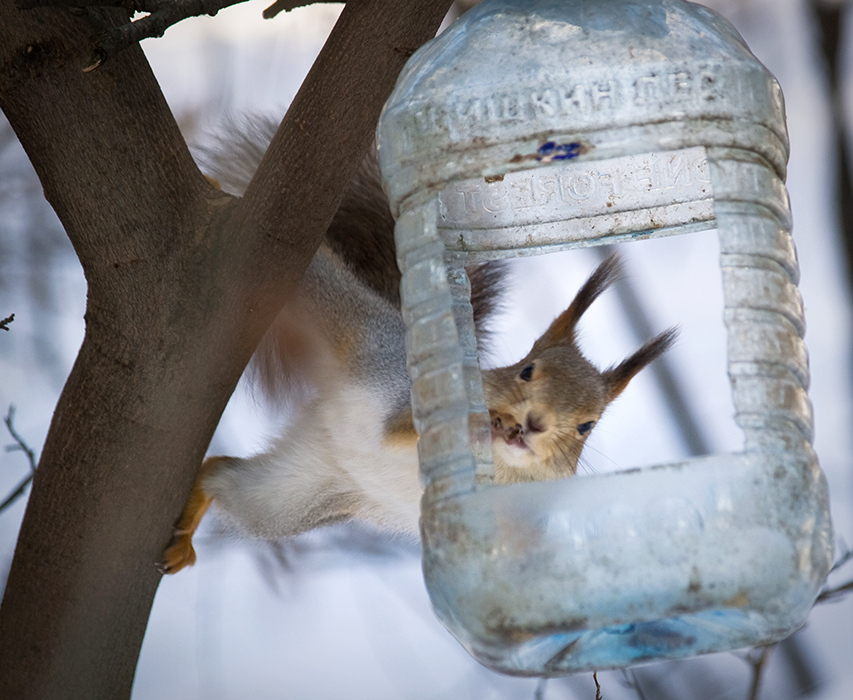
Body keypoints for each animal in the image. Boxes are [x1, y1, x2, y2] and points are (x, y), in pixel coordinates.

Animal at [163, 116, 676, 576]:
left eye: (587, 426)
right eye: (527, 370)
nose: (532, 424)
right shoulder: (412, 410)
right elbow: (409, 428)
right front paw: (486, 423)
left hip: (290, 497)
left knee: (222, 474)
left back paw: (188, 526)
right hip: (333, 308)